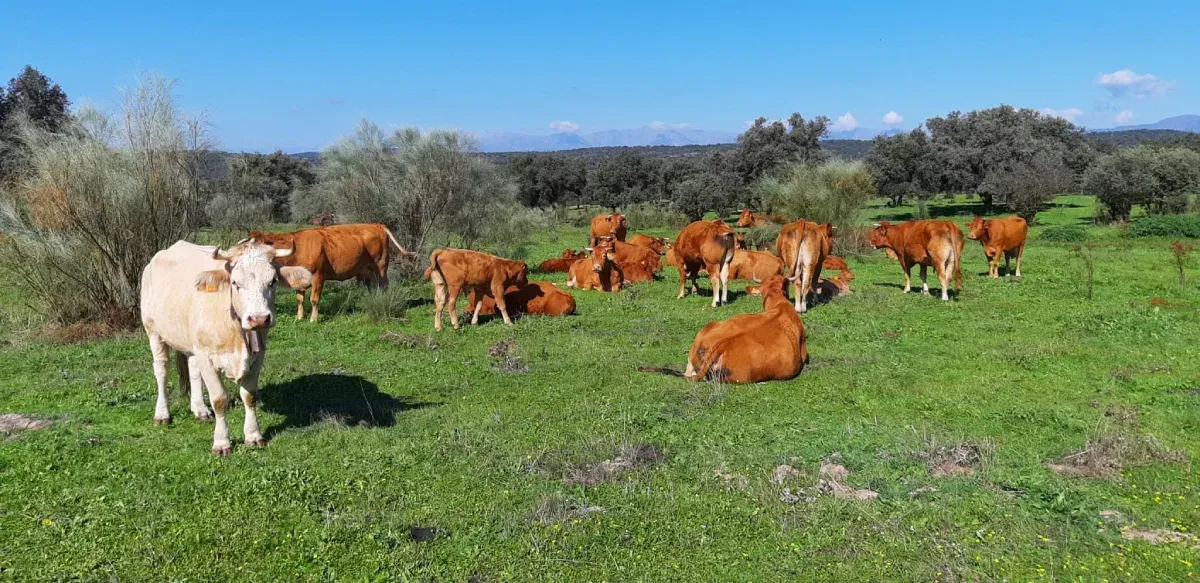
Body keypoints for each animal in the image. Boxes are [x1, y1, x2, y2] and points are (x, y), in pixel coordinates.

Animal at [141, 240, 313, 454]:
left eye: (272, 281)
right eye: (235, 283)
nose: (259, 319)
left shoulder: (258, 356)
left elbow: (249, 396)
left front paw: (253, 435)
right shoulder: (206, 356)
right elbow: (220, 399)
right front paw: (222, 442)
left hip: (191, 342)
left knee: (193, 369)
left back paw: (200, 409)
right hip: (153, 331)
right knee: (162, 370)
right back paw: (162, 414)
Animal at [249, 223, 415, 322]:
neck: (298, 248)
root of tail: (376, 224)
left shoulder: (318, 276)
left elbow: (314, 299)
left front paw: (314, 319)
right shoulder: (299, 279)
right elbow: (300, 299)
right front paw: (300, 317)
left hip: (381, 265)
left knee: (384, 284)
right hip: (368, 270)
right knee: (373, 286)